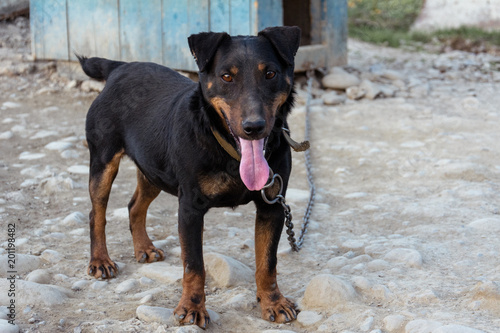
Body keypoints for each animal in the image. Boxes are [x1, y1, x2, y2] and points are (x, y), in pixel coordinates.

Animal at [79, 25, 300, 326]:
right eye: (226, 77)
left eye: (270, 74)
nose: (254, 127)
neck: (228, 150)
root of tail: (119, 68)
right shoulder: (190, 209)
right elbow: (194, 265)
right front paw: (192, 308)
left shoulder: (272, 206)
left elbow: (267, 262)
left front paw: (273, 302)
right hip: (103, 162)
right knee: (96, 213)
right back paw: (100, 261)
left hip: (152, 170)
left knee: (135, 206)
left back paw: (144, 248)